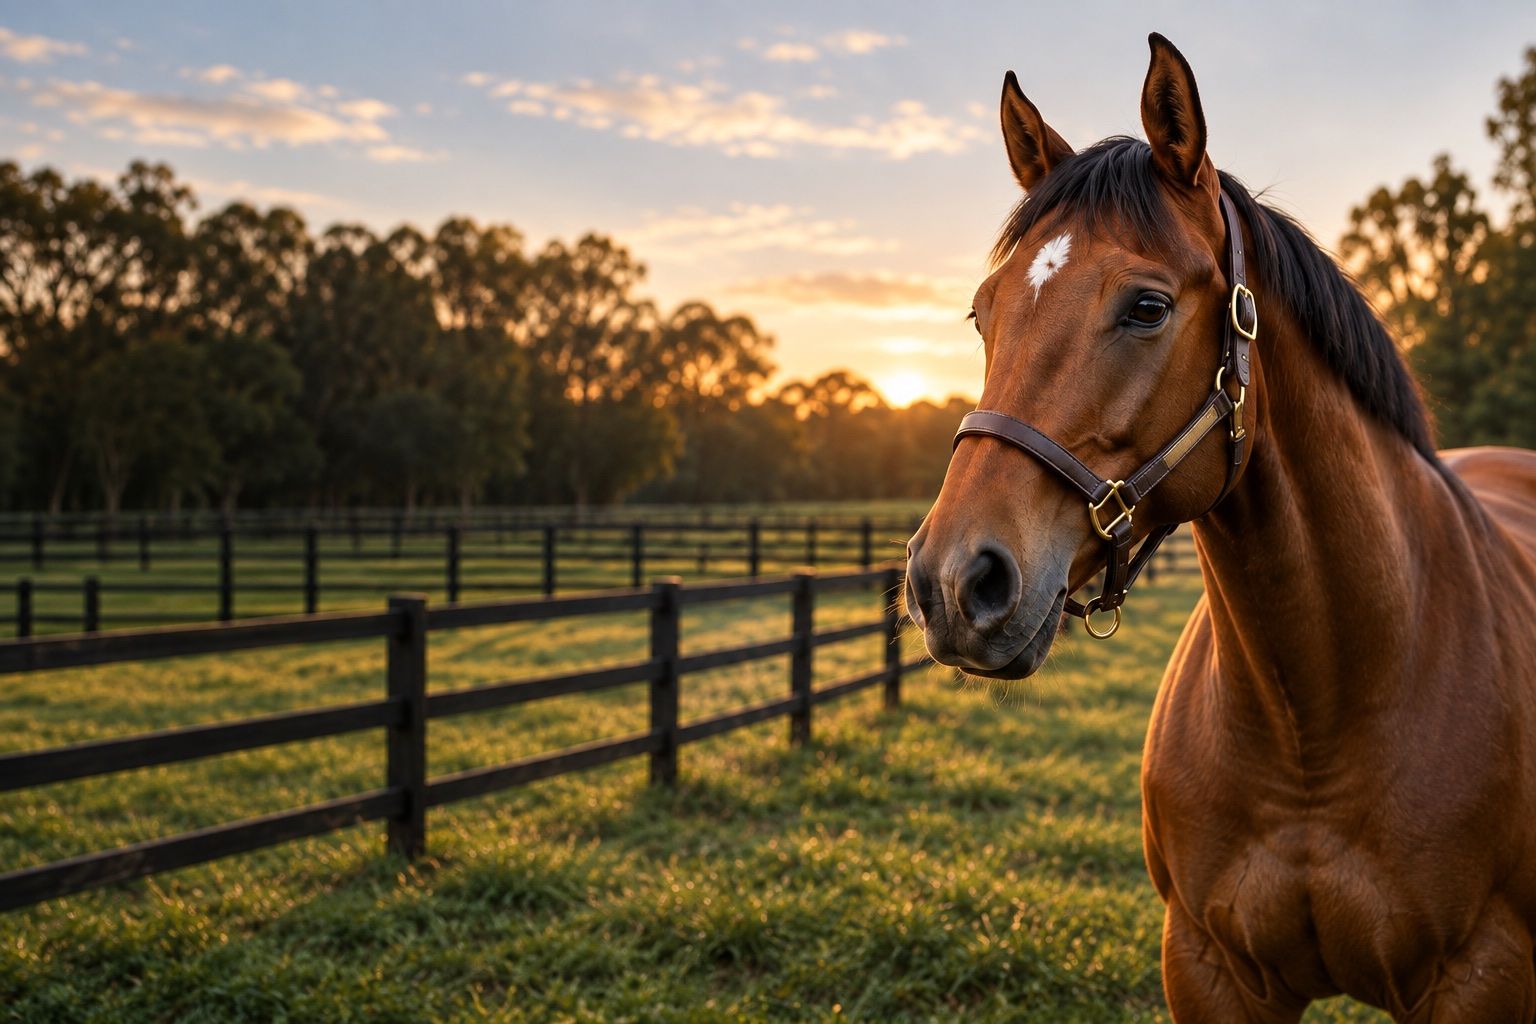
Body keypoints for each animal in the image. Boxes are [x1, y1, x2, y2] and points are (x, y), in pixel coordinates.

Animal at [903, 33, 1536, 1022]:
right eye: (983, 311)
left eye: (1147, 307)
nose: (952, 581)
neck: (1314, 723)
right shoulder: (1208, 967)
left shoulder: (1484, 977)